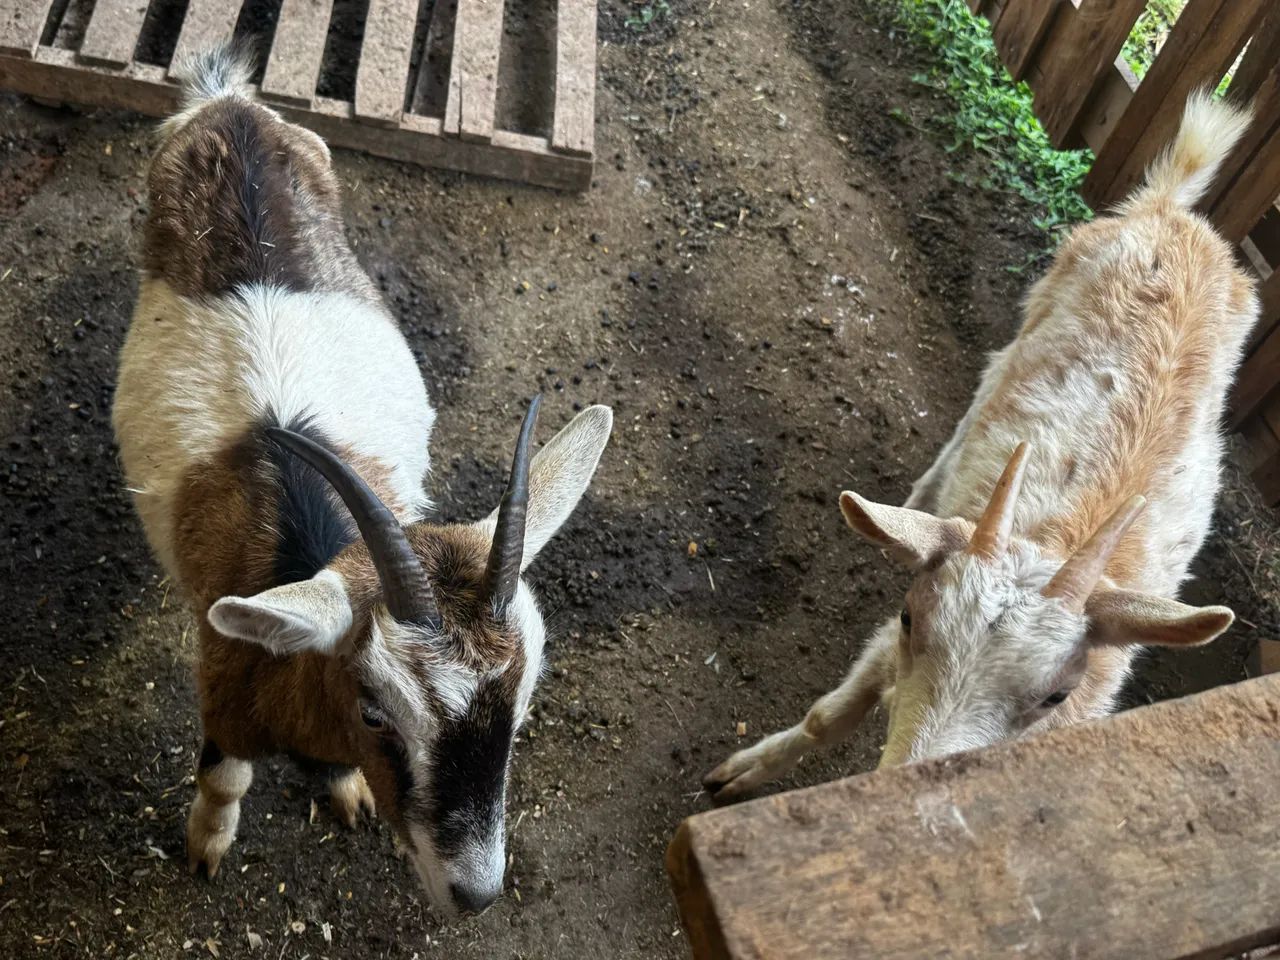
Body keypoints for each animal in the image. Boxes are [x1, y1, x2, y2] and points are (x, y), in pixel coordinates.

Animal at [112, 47, 613, 915]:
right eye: (377, 712)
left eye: (520, 709)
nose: (476, 893)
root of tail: (229, 107)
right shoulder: (223, 693)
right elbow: (225, 780)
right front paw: (205, 850)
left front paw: (344, 793)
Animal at [705, 92, 1257, 803]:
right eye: (911, 618)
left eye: (1057, 696)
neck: (1056, 543)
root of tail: (1172, 210)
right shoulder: (892, 638)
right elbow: (831, 714)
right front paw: (744, 772)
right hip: (1035, 310)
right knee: (981, 394)